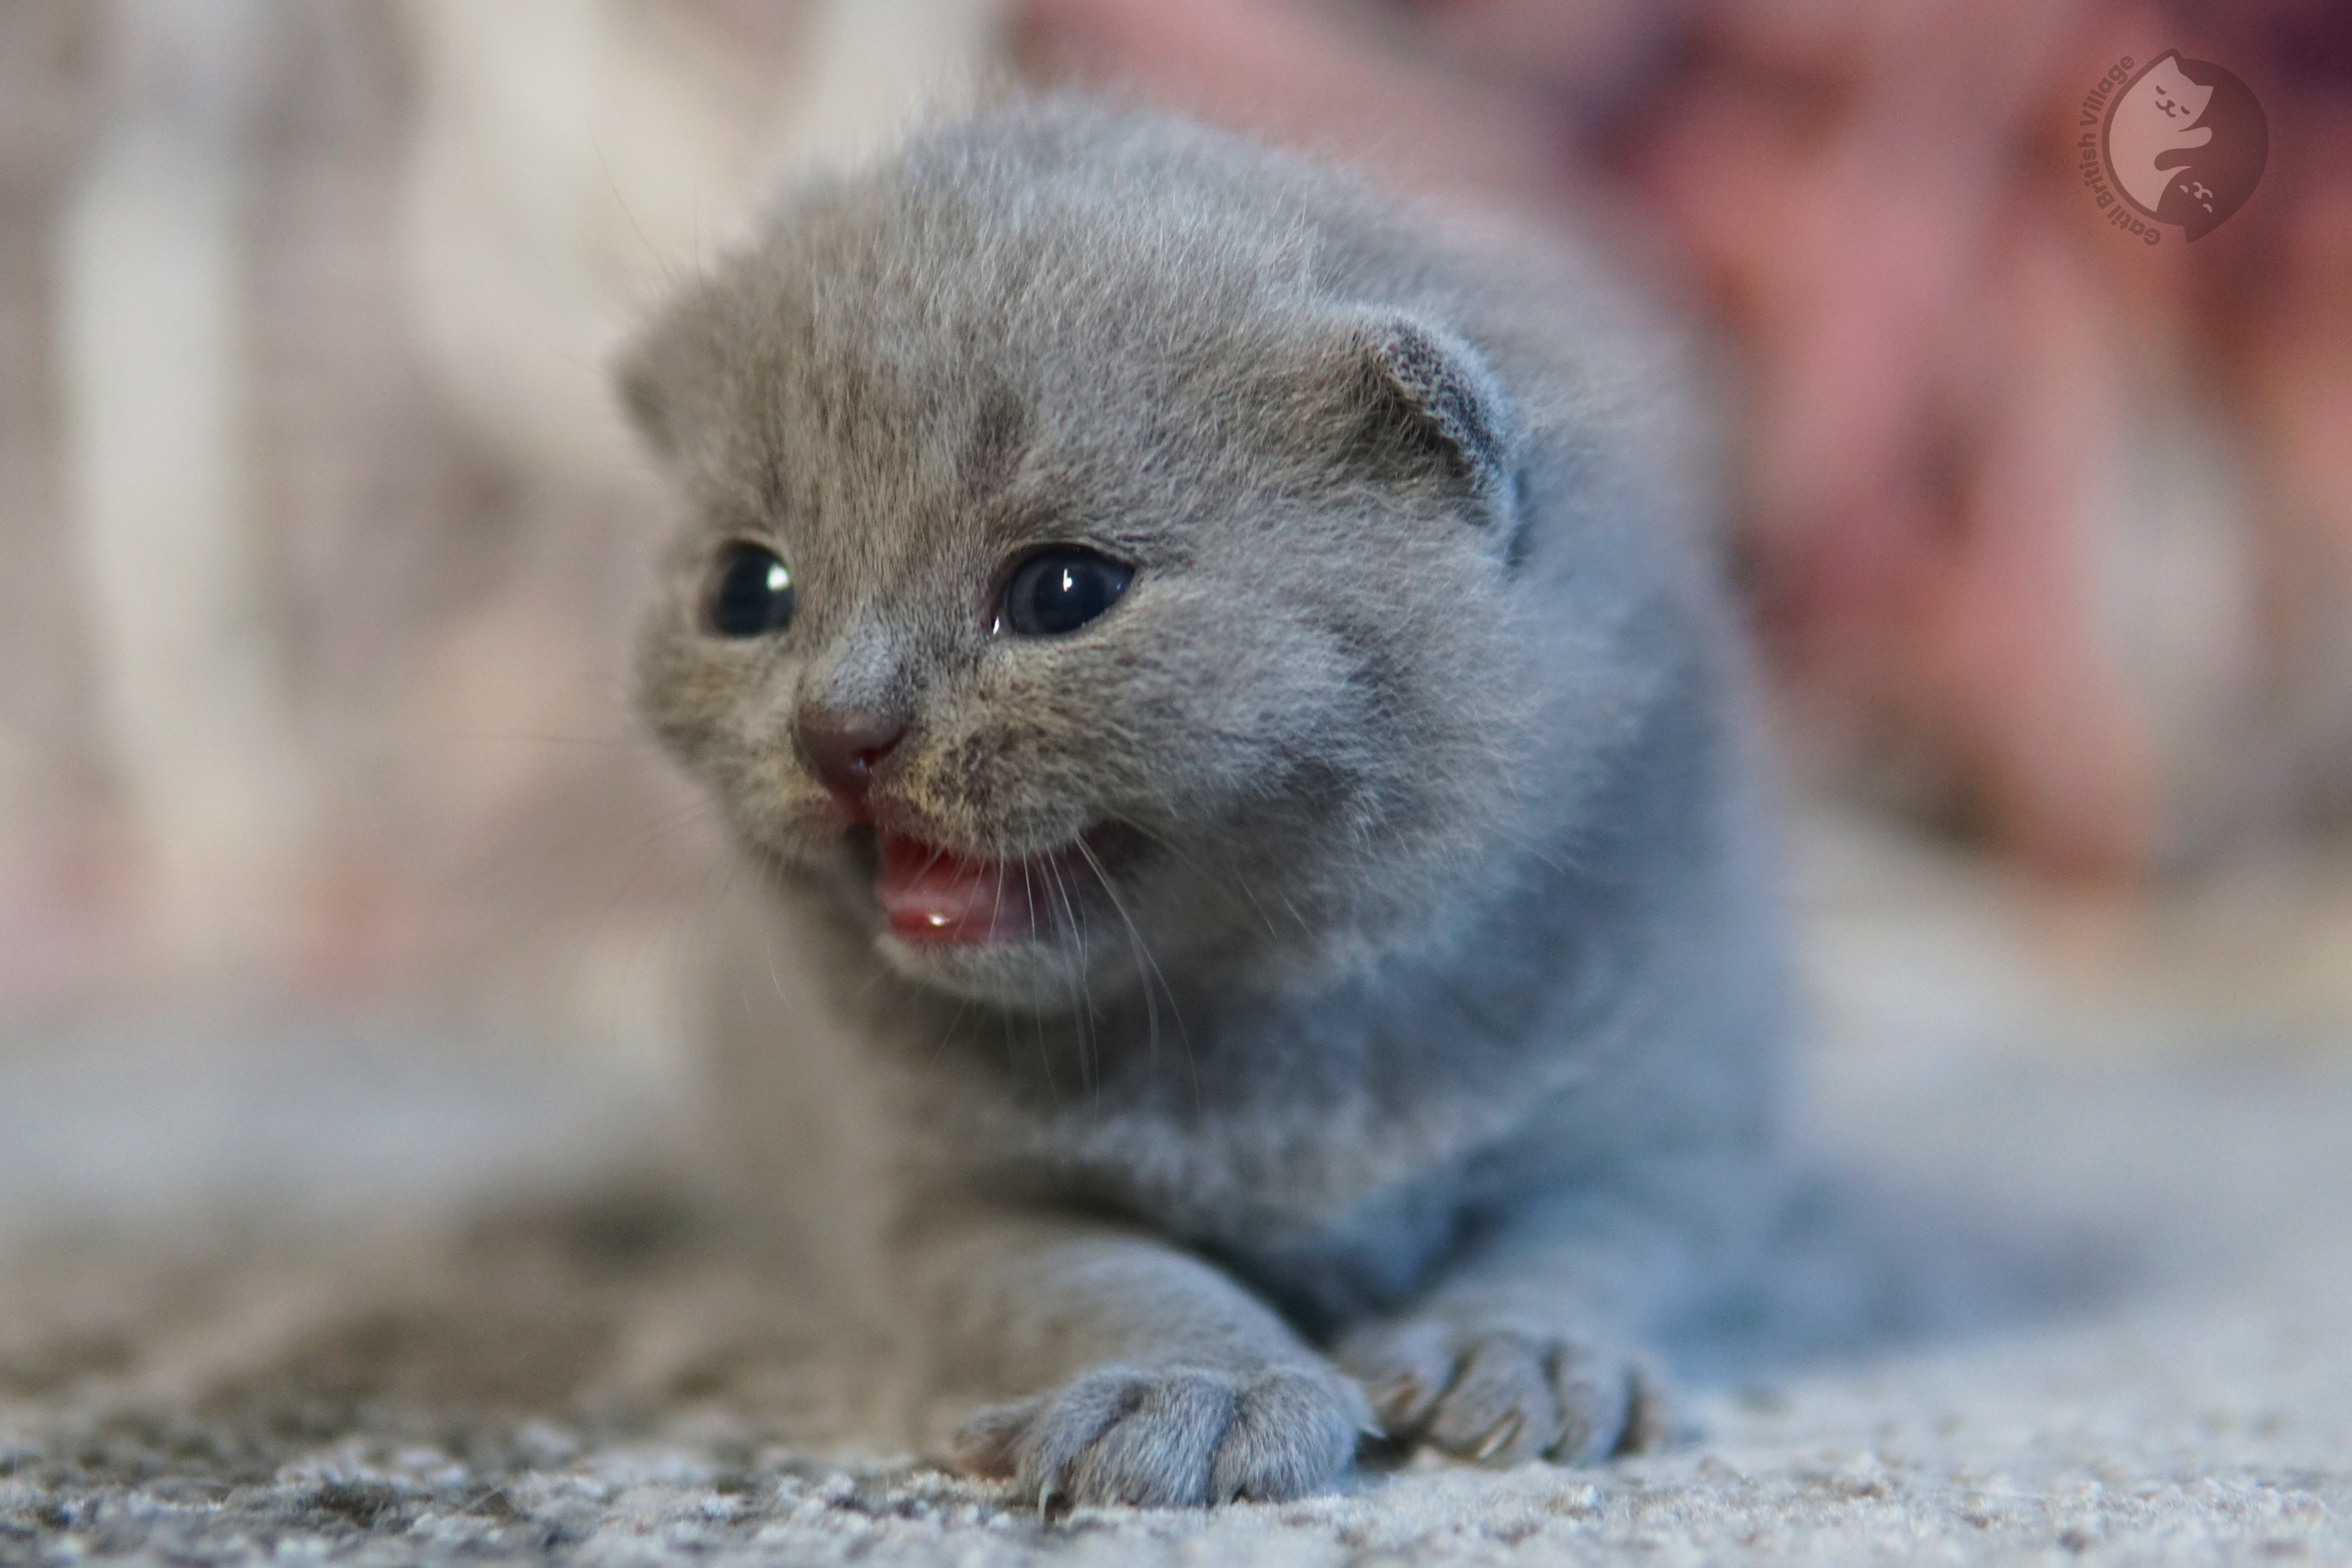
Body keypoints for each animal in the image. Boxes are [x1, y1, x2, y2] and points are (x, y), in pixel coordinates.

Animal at [616, 95, 1787, 1504]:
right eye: (749, 591)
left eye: (1062, 592)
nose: (838, 732)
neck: (1262, 1027)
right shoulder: (932, 1201)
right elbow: (1117, 1277)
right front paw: (1200, 1389)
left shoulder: (1669, 1113)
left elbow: (1589, 1241)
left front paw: (1522, 1350)